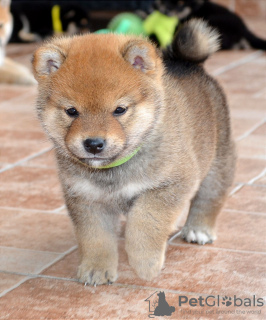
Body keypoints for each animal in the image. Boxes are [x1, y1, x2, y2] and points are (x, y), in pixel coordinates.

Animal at [32, 19, 235, 284]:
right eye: (71, 111)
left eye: (119, 109)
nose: (93, 144)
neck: (113, 171)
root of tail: (188, 63)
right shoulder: (86, 198)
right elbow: (95, 238)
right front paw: (96, 269)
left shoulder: (171, 183)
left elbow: (145, 222)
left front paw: (145, 262)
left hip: (217, 162)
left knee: (210, 198)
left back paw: (199, 229)